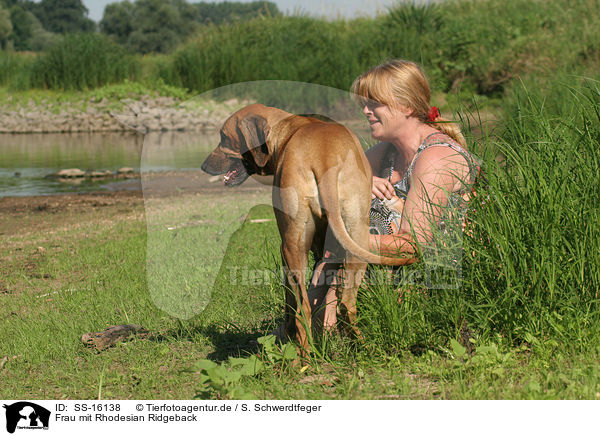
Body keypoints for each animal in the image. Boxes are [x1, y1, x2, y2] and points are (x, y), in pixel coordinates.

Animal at [202, 104, 418, 354]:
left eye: (224, 137)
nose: (203, 166)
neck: (287, 129)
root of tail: (326, 160)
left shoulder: (285, 246)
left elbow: (288, 299)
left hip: (293, 245)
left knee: (302, 308)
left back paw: (304, 355)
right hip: (357, 235)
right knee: (346, 303)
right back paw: (358, 344)